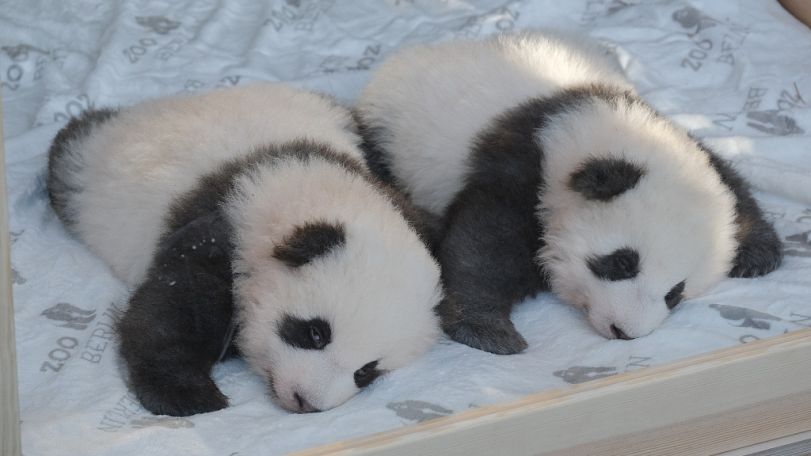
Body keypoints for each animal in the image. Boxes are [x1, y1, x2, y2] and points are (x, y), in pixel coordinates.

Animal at [47, 83, 443, 416]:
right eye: (315, 333)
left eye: (366, 371)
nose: (305, 401)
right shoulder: (220, 229)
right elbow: (174, 309)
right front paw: (188, 395)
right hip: (92, 175)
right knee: (70, 155)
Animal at [355, 30, 782, 355]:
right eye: (622, 263)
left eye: (674, 293)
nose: (625, 332)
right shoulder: (526, 163)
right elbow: (486, 244)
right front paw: (487, 329)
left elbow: (730, 181)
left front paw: (759, 252)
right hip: (390, 138)